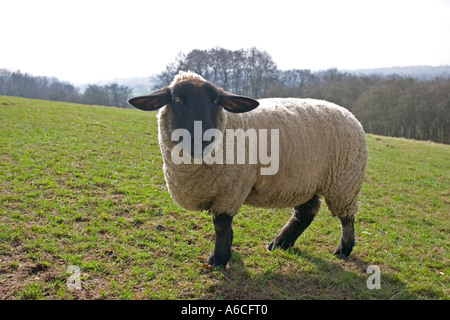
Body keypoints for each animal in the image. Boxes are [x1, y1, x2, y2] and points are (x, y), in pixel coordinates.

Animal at [128, 71, 368, 268]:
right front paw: (228, 248)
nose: (202, 139)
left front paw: (219, 259)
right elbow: (225, 225)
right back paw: (280, 243)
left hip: (344, 181)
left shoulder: (231, 188)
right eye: (176, 99)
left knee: (346, 217)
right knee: (306, 213)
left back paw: (343, 249)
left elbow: (221, 224)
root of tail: (349, 114)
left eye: (215, 101)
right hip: (306, 180)